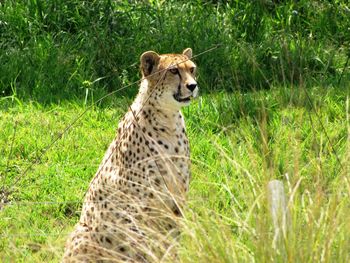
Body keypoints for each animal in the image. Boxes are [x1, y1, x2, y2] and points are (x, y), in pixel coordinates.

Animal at [63, 48, 198, 262]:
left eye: (192, 69)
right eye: (173, 71)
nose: (193, 86)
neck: (168, 121)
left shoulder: (176, 198)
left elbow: (172, 241)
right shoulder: (139, 204)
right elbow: (144, 242)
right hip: (84, 232)